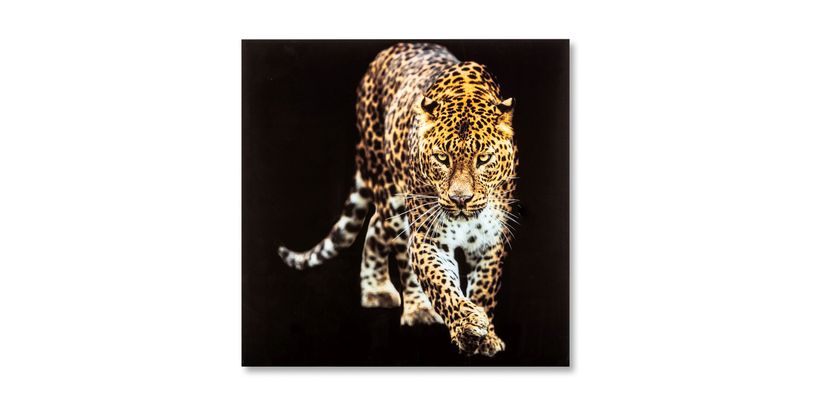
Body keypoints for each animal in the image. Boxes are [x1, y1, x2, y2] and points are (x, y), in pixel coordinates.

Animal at [278, 43, 518, 357]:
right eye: (442, 158)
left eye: (484, 159)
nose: (461, 199)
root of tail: (389, 50)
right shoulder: (429, 239)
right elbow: (441, 284)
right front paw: (467, 324)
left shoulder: (492, 240)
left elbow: (484, 288)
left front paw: (485, 336)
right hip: (391, 193)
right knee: (400, 250)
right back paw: (416, 308)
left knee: (375, 225)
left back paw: (376, 290)